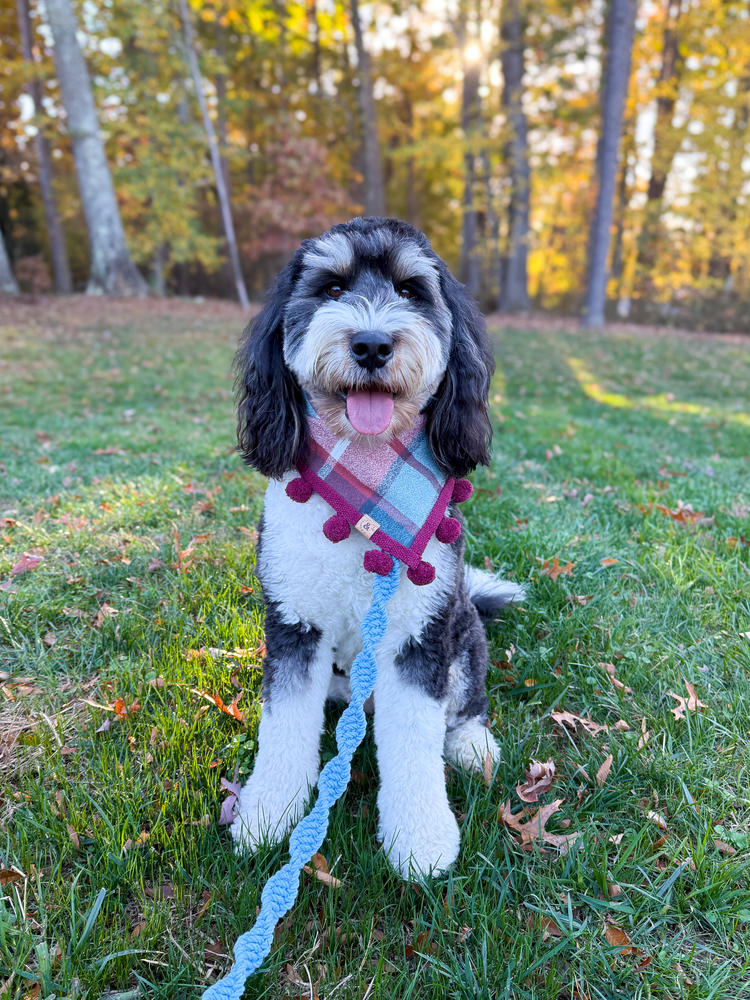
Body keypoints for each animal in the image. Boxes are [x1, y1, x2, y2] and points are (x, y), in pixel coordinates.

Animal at [231, 217, 524, 876]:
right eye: (333, 288)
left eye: (412, 291)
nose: (370, 344)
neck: (362, 512)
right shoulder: (294, 625)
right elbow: (283, 729)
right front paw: (266, 814)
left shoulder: (417, 634)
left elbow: (414, 741)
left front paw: (419, 839)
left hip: (462, 632)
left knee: (467, 703)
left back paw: (472, 745)